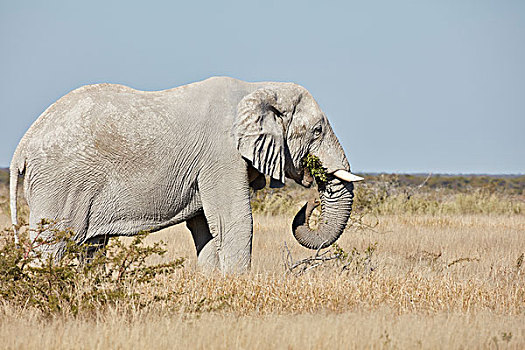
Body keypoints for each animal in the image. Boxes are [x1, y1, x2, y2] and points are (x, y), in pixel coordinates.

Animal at [9, 76, 360, 274]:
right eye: (317, 130)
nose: (310, 201)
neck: (258, 89)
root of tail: (22, 146)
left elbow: (205, 228)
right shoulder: (221, 154)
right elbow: (235, 222)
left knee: (91, 246)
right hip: (60, 182)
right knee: (53, 245)